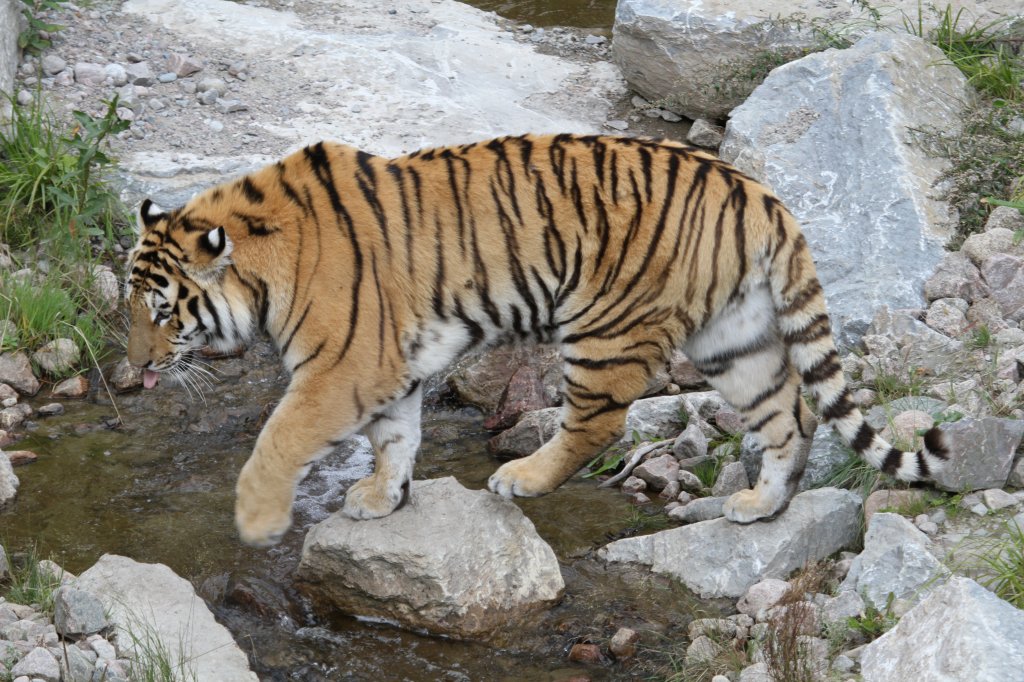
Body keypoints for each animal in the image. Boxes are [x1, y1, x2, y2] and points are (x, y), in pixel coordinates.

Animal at [123, 135, 946, 544]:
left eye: (162, 313)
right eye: (129, 308)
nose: (132, 370)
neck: (262, 266)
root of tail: (755, 189)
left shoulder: (341, 367)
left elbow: (279, 437)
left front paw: (257, 523)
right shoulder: (391, 366)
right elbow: (396, 436)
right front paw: (382, 497)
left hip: (604, 325)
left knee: (597, 425)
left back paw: (521, 478)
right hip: (732, 338)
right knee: (790, 415)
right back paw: (761, 506)